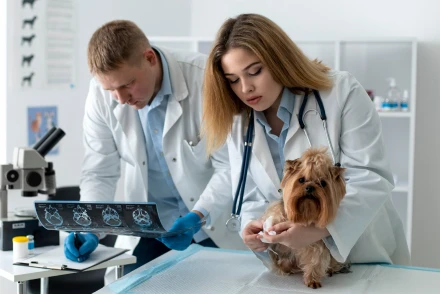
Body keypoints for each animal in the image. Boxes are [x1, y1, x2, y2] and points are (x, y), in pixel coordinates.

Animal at [262, 148, 350, 290]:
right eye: (301, 180)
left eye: (322, 183)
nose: (310, 187)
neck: (306, 211)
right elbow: (274, 216)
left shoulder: (316, 244)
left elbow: (316, 260)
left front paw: (312, 280)